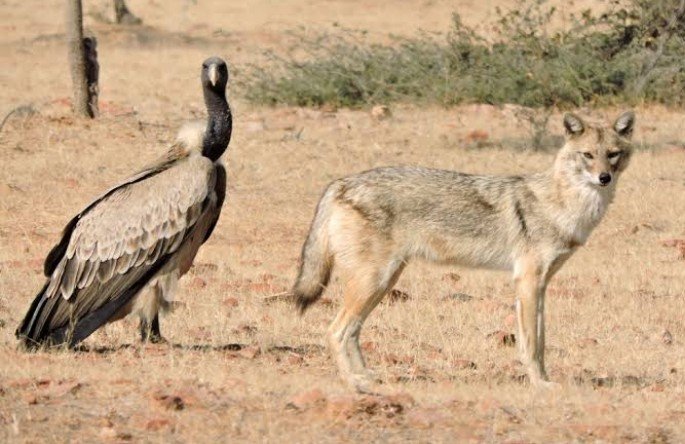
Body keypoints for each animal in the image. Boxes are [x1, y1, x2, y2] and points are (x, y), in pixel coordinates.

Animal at [292, 111, 635, 392]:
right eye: (587, 155)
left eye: (613, 155)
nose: (604, 178)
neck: (564, 206)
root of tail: (340, 182)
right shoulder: (527, 281)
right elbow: (532, 344)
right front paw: (540, 384)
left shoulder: (541, 283)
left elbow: (539, 339)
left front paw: (544, 380)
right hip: (373, 281)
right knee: (335, 331)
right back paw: (355, 383)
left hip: (383, 282)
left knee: (351, 331)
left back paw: (366, 376)